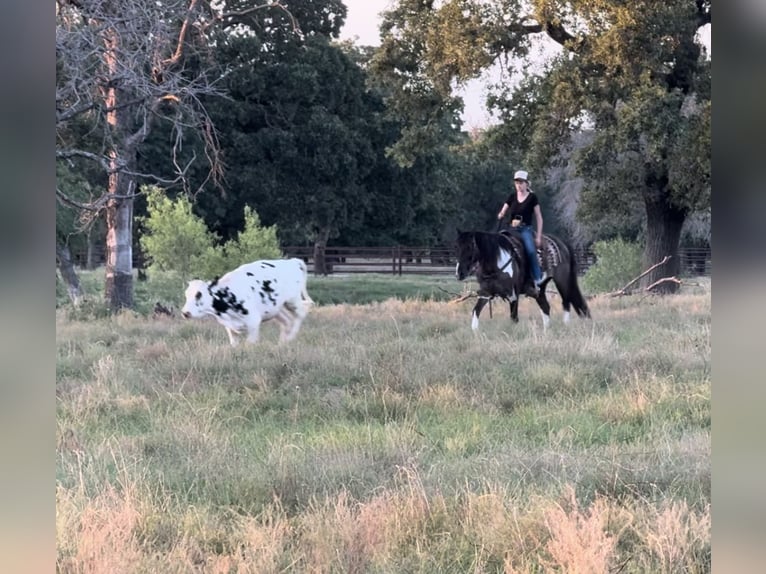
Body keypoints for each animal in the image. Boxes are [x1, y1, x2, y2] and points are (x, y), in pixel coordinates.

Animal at [182, 260, 314, 346]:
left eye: (199, 294)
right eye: (186, 294)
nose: (185, 313)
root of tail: (293, 261)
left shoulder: (253, 322)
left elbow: (249, 344)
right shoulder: (230, 327)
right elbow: (234, 344)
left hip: (292, 300)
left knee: (302, 311)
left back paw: (291, 337)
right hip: (276, 309)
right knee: (287, 321)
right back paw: (282, 343)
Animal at [456, 227, 592, 330]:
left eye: (470, 247)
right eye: (457, 247)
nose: (459, 273)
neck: (497, 262)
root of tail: (561, 243)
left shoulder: (513, 294)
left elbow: (513, 317)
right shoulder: (486, 293)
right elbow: (475, 311)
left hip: (562, 281)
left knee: (566, 302)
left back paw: (566, 324)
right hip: (540, 289)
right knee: (545, 307)